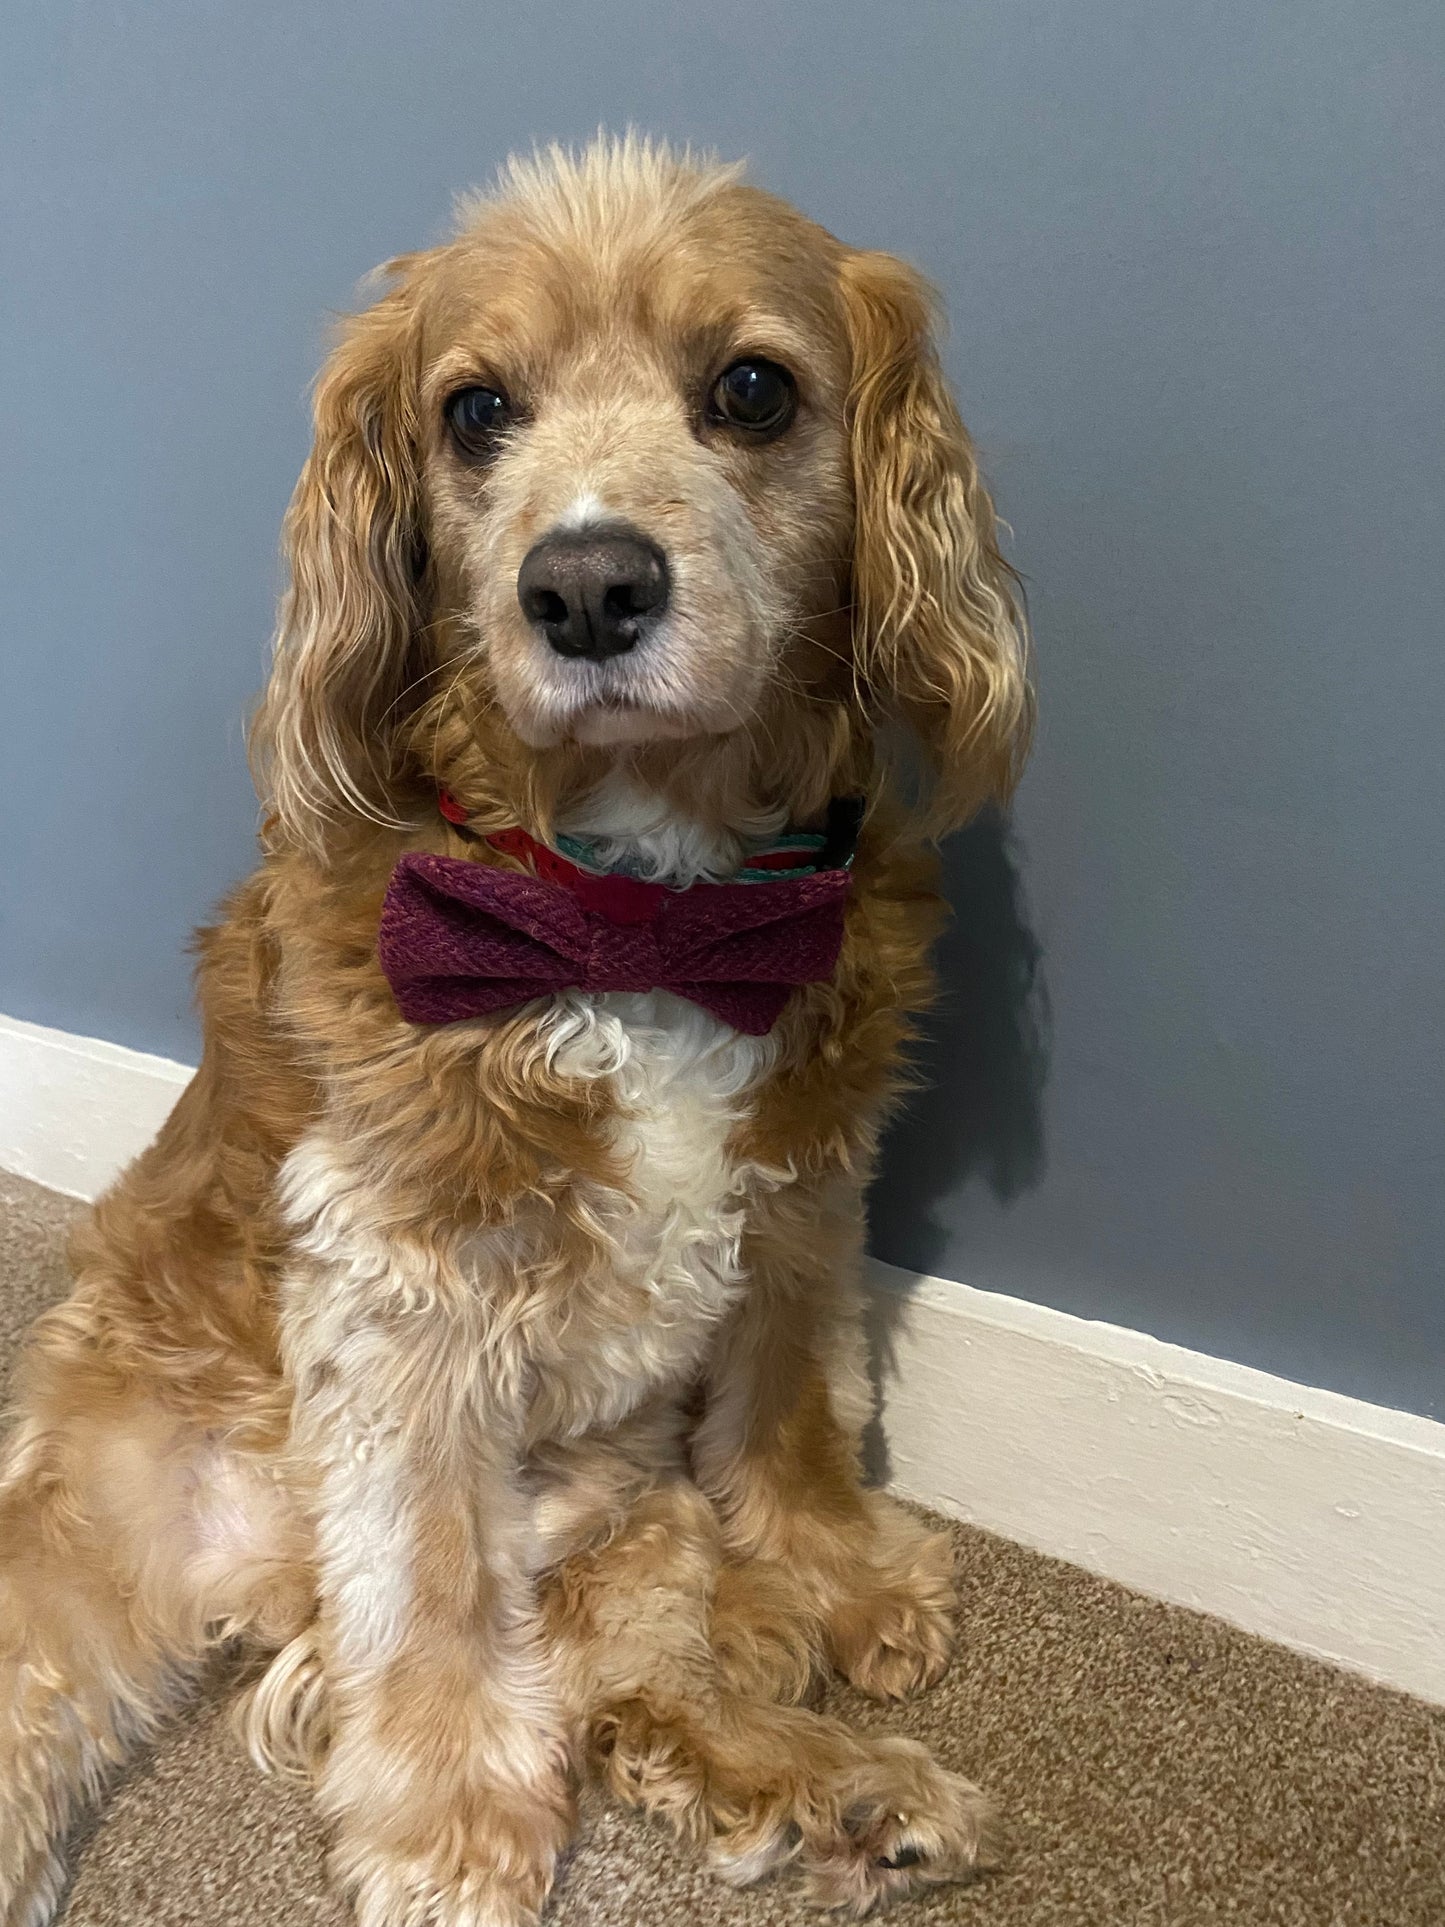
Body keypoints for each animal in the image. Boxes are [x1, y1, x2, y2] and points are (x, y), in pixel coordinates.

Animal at [5, 139, 1032, 1927]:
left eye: (752, 389)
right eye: (474, 410)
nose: (588, 583)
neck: (636, 903)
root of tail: (266, 1589)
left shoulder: (803, 1190)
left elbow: (790, 1391)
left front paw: (832, 1568)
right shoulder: (402, 1276)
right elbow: (424, 1560)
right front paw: (444, 1824)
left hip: (626, 1513)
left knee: (637, 1691)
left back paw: (844, 1787)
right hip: (76, 1534)